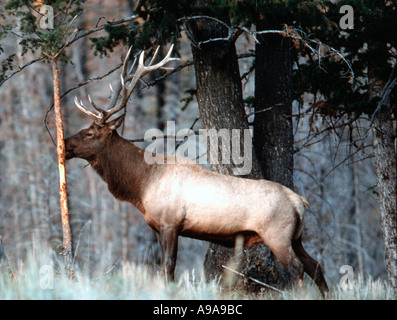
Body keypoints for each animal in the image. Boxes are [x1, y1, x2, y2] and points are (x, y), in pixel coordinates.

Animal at [65, 44, 328, 296]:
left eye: (89, 133)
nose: (64, 144)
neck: (141, 185)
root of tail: (299, 201)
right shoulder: (159, 227)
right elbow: (164, 267)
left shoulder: (170, 223)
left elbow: (168, 267)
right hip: (296, 237)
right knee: (315, 265)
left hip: (277, 234)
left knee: (297, 268)